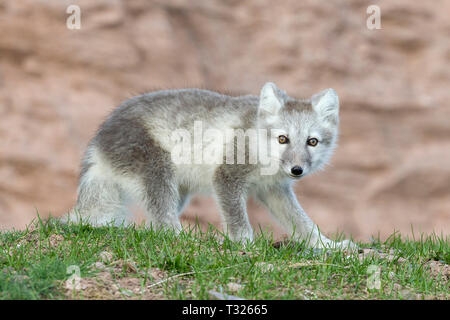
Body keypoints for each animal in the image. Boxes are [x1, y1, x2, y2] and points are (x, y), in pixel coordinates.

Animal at [63, 81, 356, 249]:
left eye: (312, 141)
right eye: (283, 139)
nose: (297, 170)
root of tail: (98, 141)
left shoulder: (274, 190)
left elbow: (303, 222)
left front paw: (328, 246)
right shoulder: (226, 176)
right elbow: (237, 219)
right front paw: (245, 245)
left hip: (177, 191)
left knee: (153, 225)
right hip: (157, 171)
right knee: (163, 223)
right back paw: (186, 238)